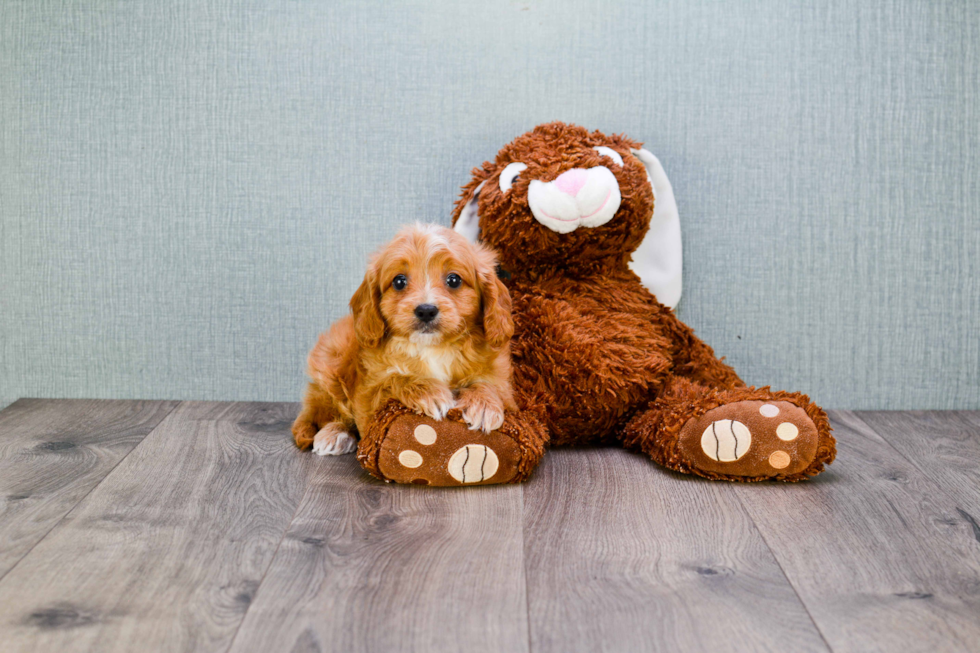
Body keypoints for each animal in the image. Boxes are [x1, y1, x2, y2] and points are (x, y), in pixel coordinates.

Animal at [292, 223, 516, 454]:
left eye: (454, 280)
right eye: (399, 281)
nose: (426, 310)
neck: (433, 348)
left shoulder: (505, 386)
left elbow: (489, 383)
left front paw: (483, 404)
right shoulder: (368, 397)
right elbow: (393, 379)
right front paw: (429, 392)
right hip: (329, 363)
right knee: (325, 412)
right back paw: (335, 434)